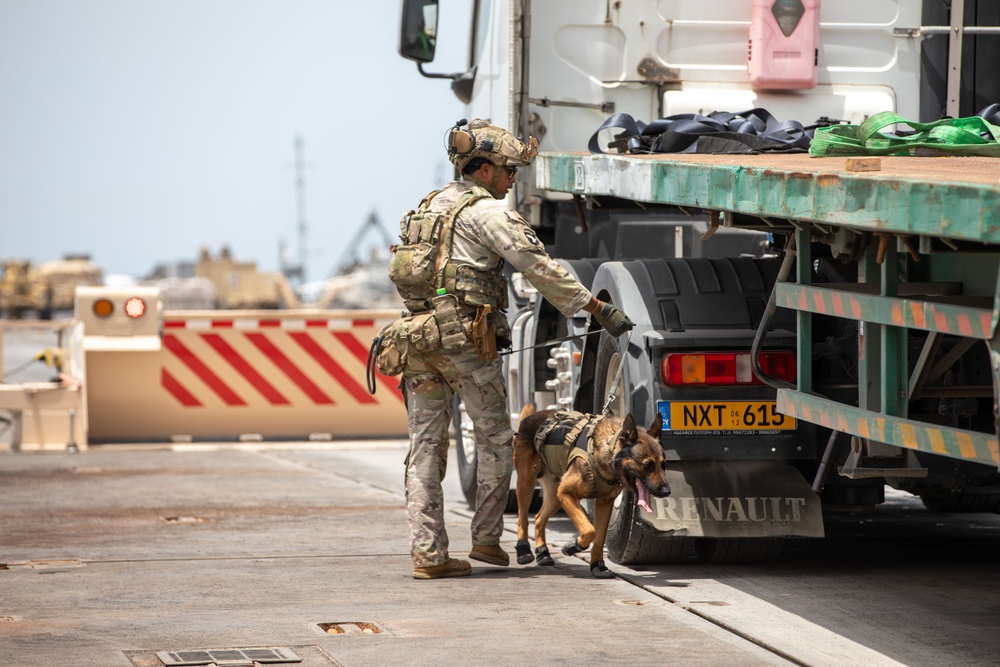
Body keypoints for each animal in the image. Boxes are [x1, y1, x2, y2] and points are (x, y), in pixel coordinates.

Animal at [516, 402, 672, 580]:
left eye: (664, 465)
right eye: (647, 465)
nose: (667, 491)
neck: (609, 450)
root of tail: (533, 417)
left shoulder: (604, 504)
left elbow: (599, 537)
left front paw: (597, 566)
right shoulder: (567, 494)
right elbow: (589, 530)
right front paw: (573, 545)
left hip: (555, 496)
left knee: (539, 518)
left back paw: (542, 553)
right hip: (527, 484)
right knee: (522, 517)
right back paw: (523, 551)